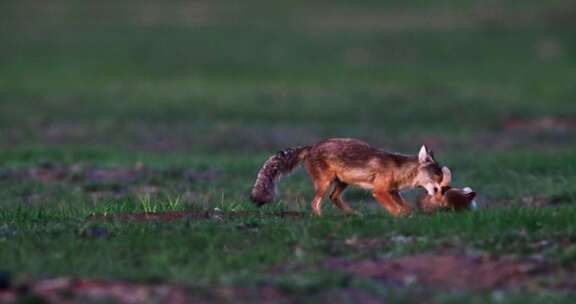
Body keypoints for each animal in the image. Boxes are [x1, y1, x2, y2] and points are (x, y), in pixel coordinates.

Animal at [250, 138, 448, 216]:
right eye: (438, 175)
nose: (446, 189)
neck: (398, 169)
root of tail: (311, 146)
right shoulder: (379, 192)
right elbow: (395, 209)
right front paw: (400, 217)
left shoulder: (393, 192)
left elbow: (406, 207)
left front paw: (409, 214)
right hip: (325, 183)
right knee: (315, 203)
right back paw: (321, 219)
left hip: (342, 183)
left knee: (333, 197)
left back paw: (351, 214)